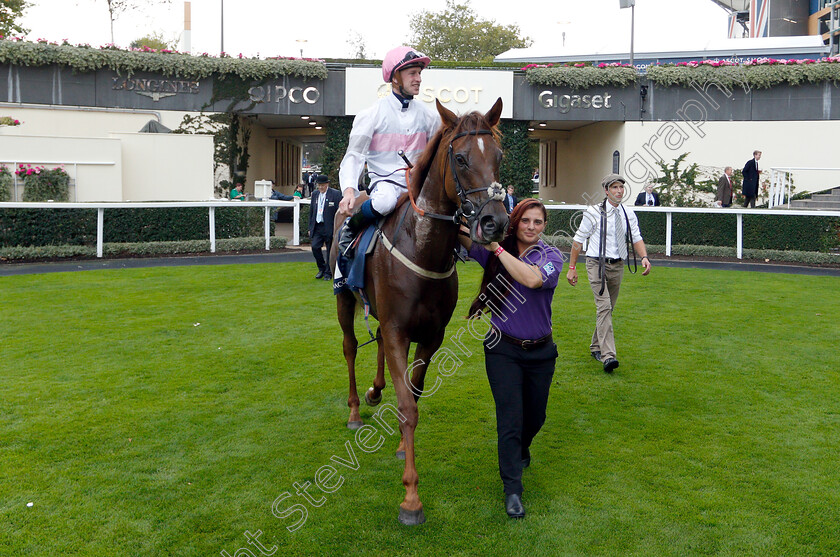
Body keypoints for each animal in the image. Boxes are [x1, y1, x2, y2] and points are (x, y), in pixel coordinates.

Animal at [332, 97, 508, 524]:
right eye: (460, 158)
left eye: (498, 155)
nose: (495, 222)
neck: (422, 247)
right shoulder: (399, 329)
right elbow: (408, 408)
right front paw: (411, 498)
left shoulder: (430, 335)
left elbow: (413, 394)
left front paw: (400, 444)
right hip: (345, 301)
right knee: (349, 348)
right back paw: (355, 411)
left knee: (376, 342)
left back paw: (376, 390)